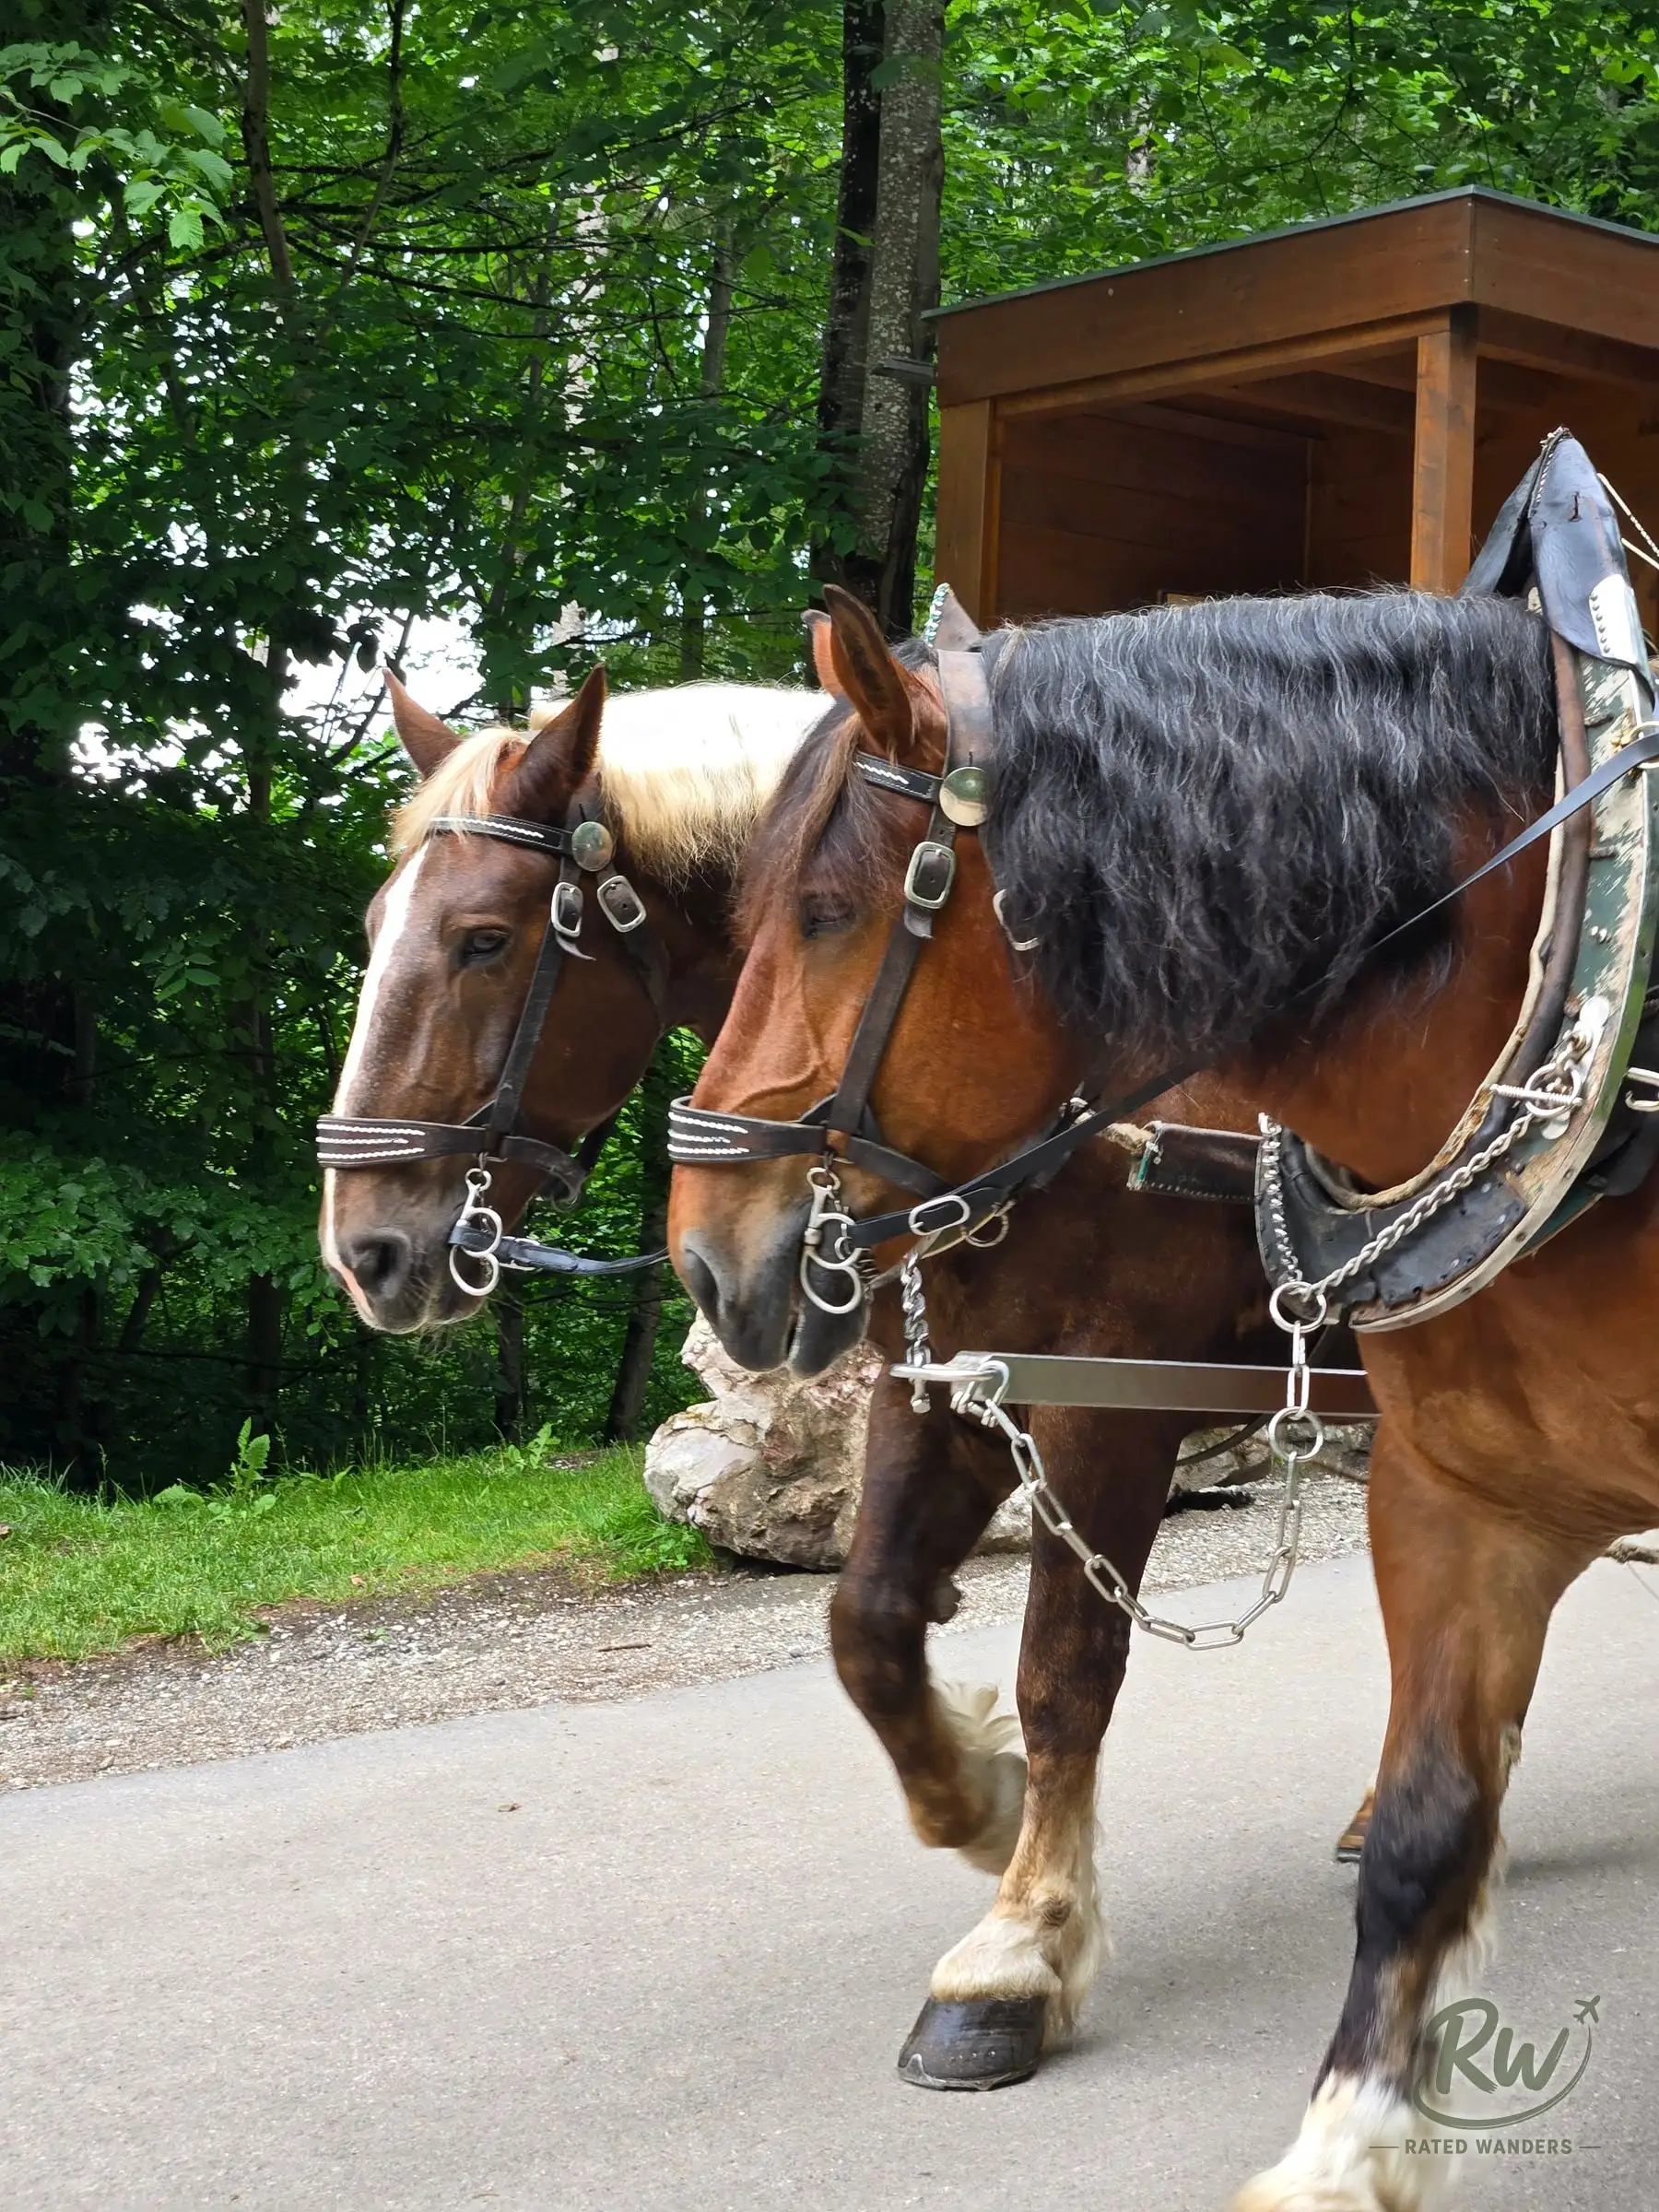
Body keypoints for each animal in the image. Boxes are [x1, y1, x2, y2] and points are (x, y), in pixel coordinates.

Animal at [320, 656, 1366, 2095]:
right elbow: (866, 1624)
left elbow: (1065, 1670)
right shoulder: (943, 1385)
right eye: (378, 926)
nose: (363, 1249)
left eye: (483, 938)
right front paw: (976, 1803)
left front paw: (1017, 1951)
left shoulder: (1106, 1405)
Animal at [667, 577, 1659, 2206]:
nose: (705, 1258)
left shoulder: (1106, 1407)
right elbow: (1425, 1826)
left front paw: (1014, 1948)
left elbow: (1065, 1670)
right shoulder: (1448, 1486)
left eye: (826, 915)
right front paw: (1340, 2144)